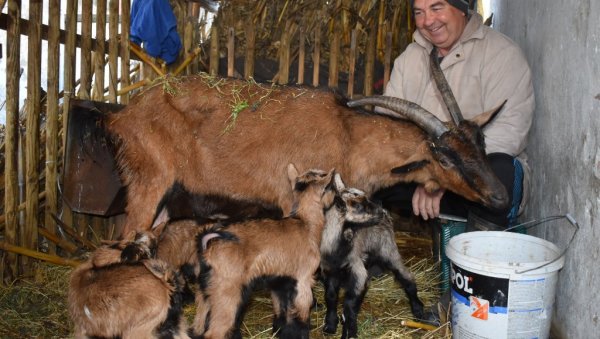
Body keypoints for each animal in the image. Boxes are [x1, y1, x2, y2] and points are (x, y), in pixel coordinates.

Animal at [108, 73, 506, 236]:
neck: (349, 135)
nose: (500, 197)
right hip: (149, 182)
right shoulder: (297, 205)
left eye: (481, 144)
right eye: (445, 158)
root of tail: (124, 116)